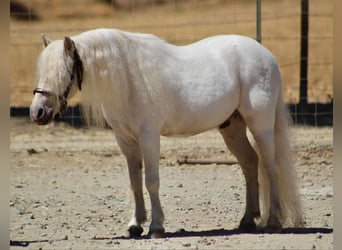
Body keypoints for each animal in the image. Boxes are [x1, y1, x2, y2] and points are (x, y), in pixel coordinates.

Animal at [28, 28, 302, 237]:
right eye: (41, 71)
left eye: (63, 72)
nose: (37, 112)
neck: (130, 80)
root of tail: (267, 56)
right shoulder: (126, 141)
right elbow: (135, 182)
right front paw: (135, 225)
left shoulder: (149, 136)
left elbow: (151, 180)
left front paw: (156, 227)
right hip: (233, 129)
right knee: (250, 164)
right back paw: (248, 220)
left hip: (261, 124)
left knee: (271, 166)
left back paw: (274, 221)